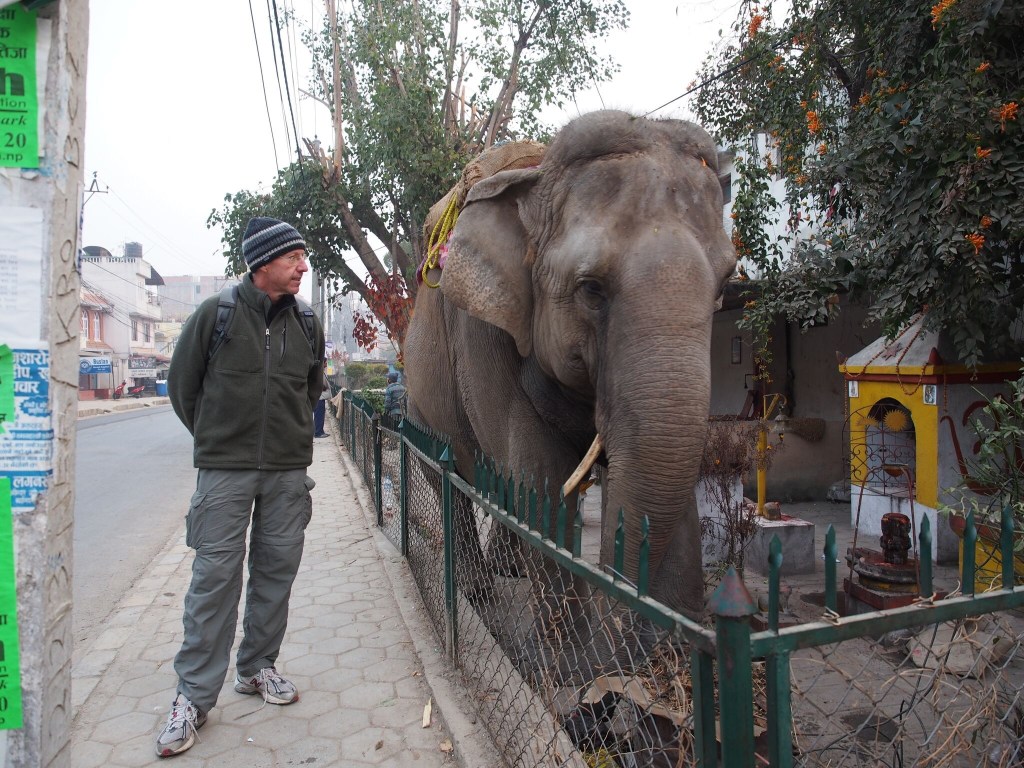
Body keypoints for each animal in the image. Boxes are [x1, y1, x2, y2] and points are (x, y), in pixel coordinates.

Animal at [402, 109, 735, 623]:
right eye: (591, 289)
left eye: (725, 283)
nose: (618, 608)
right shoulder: (481, 334)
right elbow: (538, 477)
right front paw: (567, 645)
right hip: (420, 403)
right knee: (451, 481)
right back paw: (479, 593)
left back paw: (510, 570)